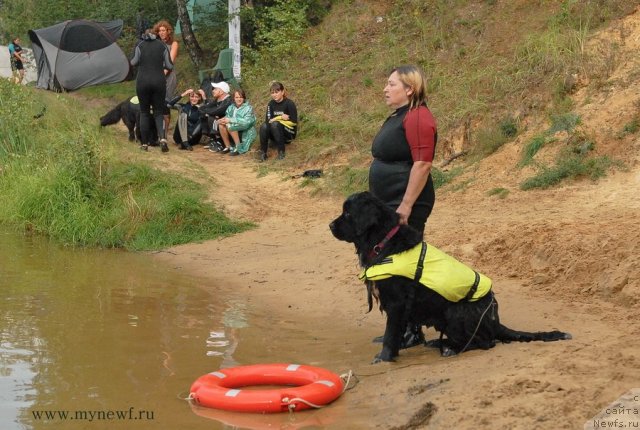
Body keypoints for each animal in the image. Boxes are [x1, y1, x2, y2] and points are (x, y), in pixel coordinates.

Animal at [330, 191, 568, 362]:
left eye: (348, 213)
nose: (330, 225)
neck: (383, 242)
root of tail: (496, 320)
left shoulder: (397, 303)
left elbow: (390, 335)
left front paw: (384, 357)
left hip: (456, 311)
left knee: (485, 342)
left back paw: (450, 348)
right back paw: (440, 343)